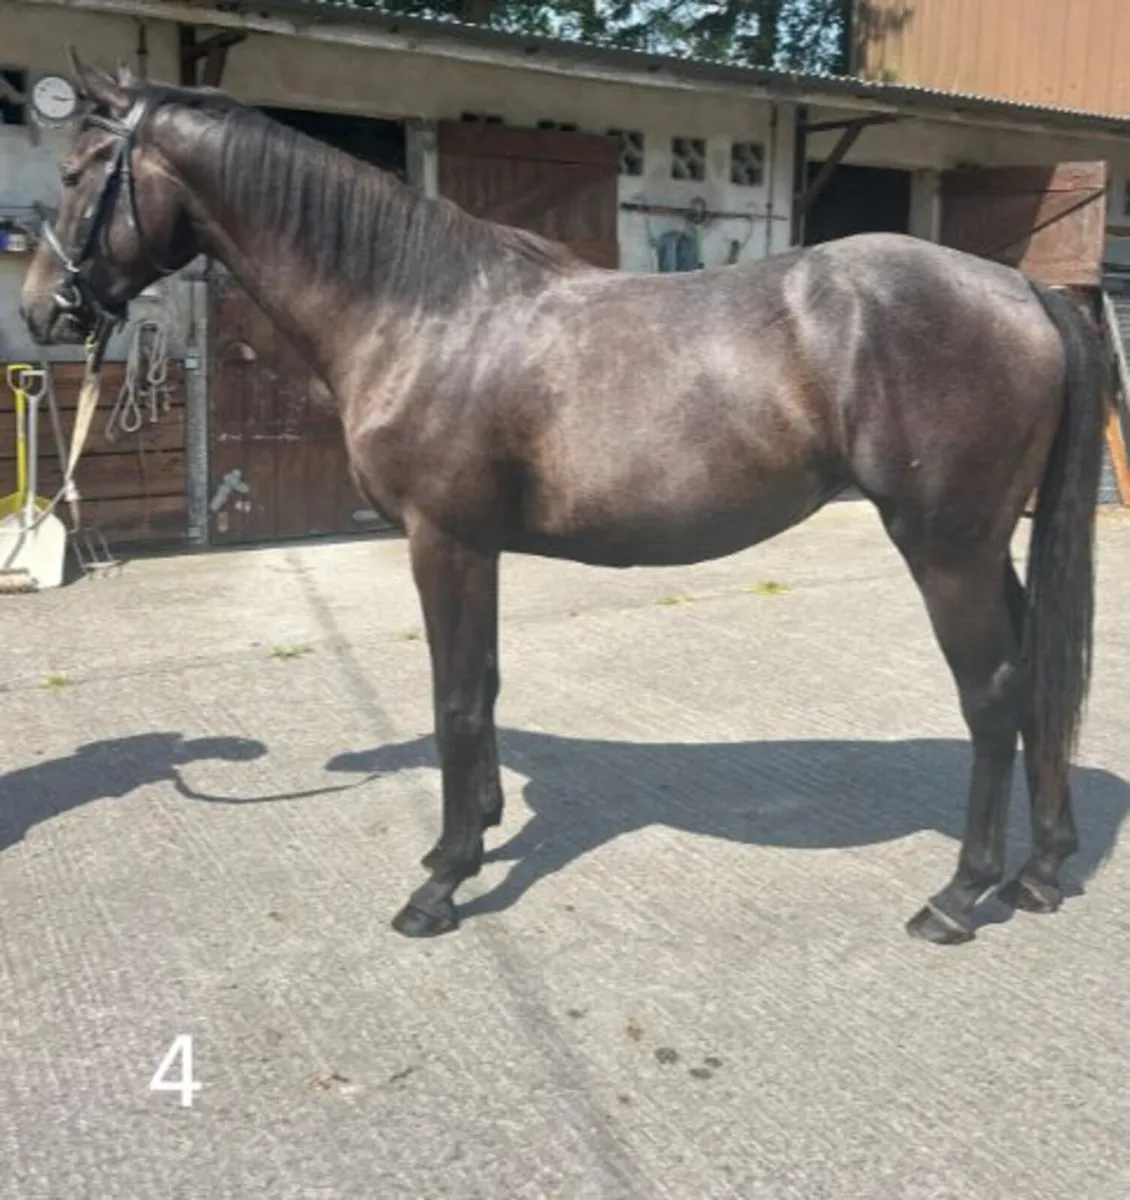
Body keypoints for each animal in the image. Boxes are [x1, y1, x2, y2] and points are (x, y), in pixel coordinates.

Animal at [21, 51, 1109, 947]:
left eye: (77, 175)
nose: (43, 310)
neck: (422, 311)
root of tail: (1021, 290)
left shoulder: (445, 542)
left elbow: (456, 699)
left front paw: (441, 887)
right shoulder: (480, 549)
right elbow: (488, 686)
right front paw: (465, 839)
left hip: (945, 549)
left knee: (993, 694)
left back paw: (957, 896)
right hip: (987, 547)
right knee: (1036, 681)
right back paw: (1041, 871)